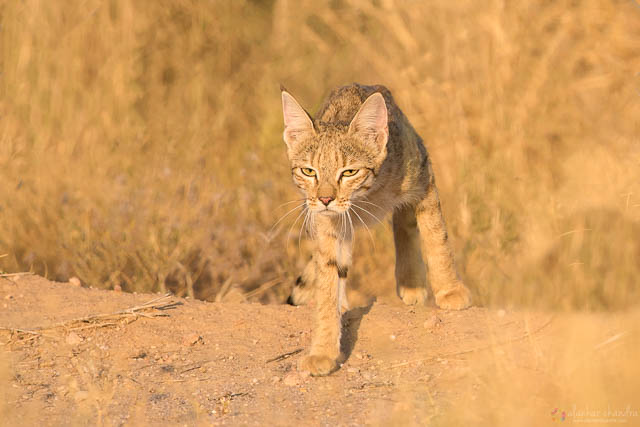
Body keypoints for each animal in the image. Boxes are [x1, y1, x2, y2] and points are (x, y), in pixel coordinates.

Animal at [280, 82, 470, 376]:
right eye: (309, 171)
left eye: (349, 172)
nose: (325, 199)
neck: (365, 197)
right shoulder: (327, 224)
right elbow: (327, 284)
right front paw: (323, 350)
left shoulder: (423, 176)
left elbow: (436, 237)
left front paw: (449, 290)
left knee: (404, 220)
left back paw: (411, 282)